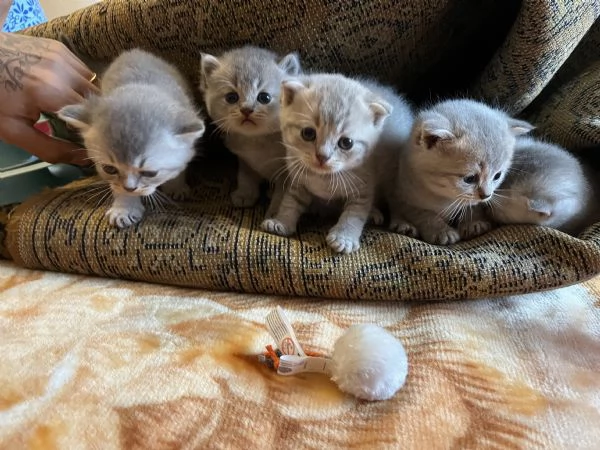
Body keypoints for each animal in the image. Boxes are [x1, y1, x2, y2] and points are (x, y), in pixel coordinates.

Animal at [58, 48, 204, 229]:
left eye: (150, 173)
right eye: (109, 169)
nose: (129, 188)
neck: (141, 86)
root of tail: (135, 52)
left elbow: (180, 167)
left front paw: (176, 186)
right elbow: (116, 187)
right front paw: (124, 208)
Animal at [199, 45, 300, 216]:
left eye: (264, 97)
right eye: (231, 97)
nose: (246, 110)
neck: (256, 142)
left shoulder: (288, 170)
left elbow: (283, 192)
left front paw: (275, 212)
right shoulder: (245, 160)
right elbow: (246, 177)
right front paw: (245, 194)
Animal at [260, 75, 414, 255]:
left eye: (346, 143)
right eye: (308, 133)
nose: (322, 156)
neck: (324, 177)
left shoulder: (363, 187)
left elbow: (354, 213)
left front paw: (344, 237)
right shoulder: (298, 179)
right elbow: (291, 202)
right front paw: (282, 221)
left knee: (396, 200)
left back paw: (401, 221)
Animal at [390, 99, 536, 246]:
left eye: (497, 176)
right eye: (470, 179)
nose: (486, 195)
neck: (445, 198)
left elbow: (472, 206)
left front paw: (474, 223)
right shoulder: (404, 197)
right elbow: (424, 215)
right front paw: (441, 231)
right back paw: (403, 226)